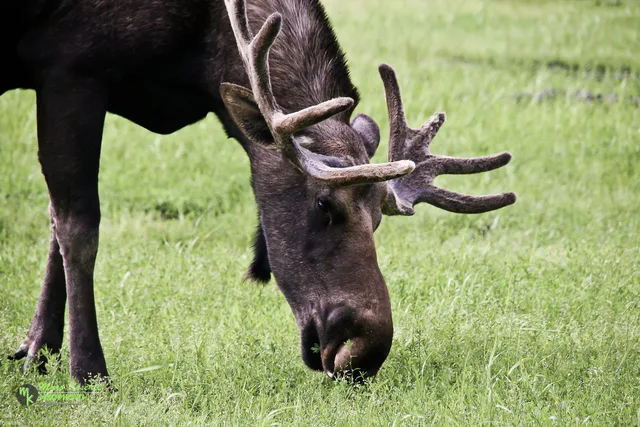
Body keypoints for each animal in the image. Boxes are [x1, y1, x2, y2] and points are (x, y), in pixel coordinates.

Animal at [3, 0, 515, 384]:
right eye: (324, 203)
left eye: (377, 219)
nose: (366, 350)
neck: (198, 57)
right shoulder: (72, 68)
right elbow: (78, 227)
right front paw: (88, 371)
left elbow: (55, 220)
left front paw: (37, 349)